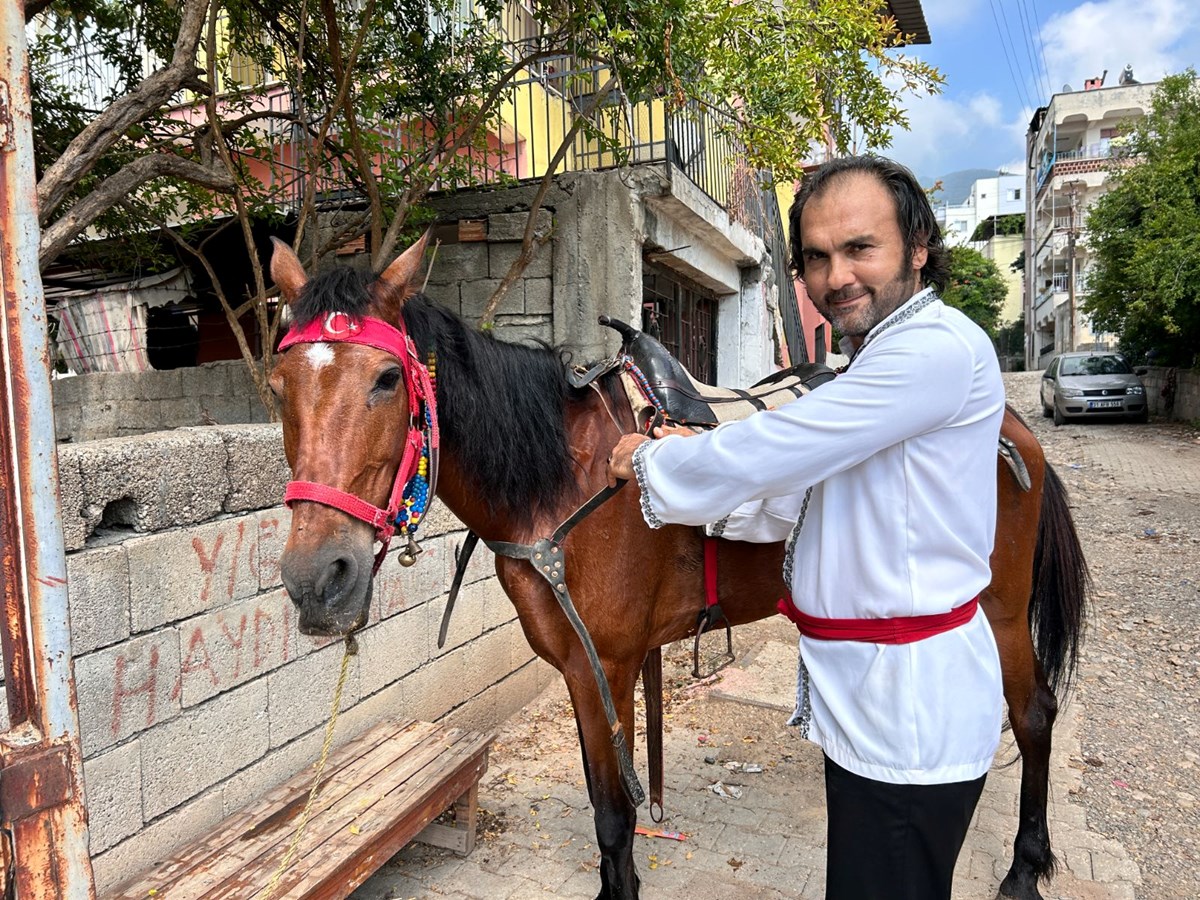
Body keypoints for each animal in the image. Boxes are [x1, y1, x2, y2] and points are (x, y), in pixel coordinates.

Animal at [270, 237, 1089, 900]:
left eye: (386, 379)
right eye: (277, 387)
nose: (318, 579)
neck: (565, 479)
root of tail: (1013, 427)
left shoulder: (610, 662)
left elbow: (615, 813)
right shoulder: (581, 664)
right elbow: (609, 805)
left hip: (1000, 610)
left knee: (1034, 714)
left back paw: (1025, 867)